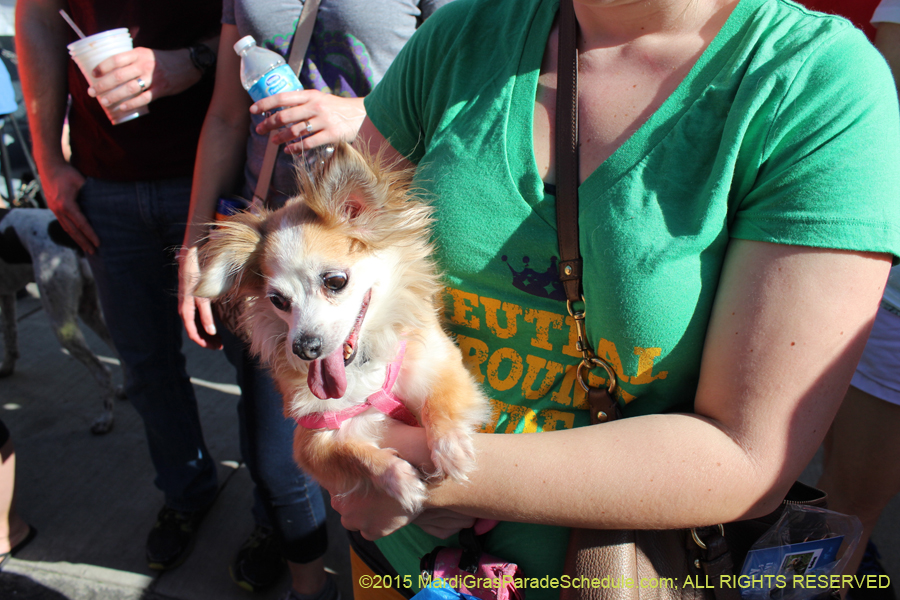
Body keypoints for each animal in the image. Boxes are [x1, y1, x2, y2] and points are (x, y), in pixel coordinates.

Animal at [194, 142, 488, 510]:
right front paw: (400, 479)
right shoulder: (310, 439)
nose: (304, 347)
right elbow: (350, 453)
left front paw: (452, 449)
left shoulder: (440, 365)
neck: (363, 370)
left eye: (335, 282)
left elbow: (442, 402)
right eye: (277, 300)